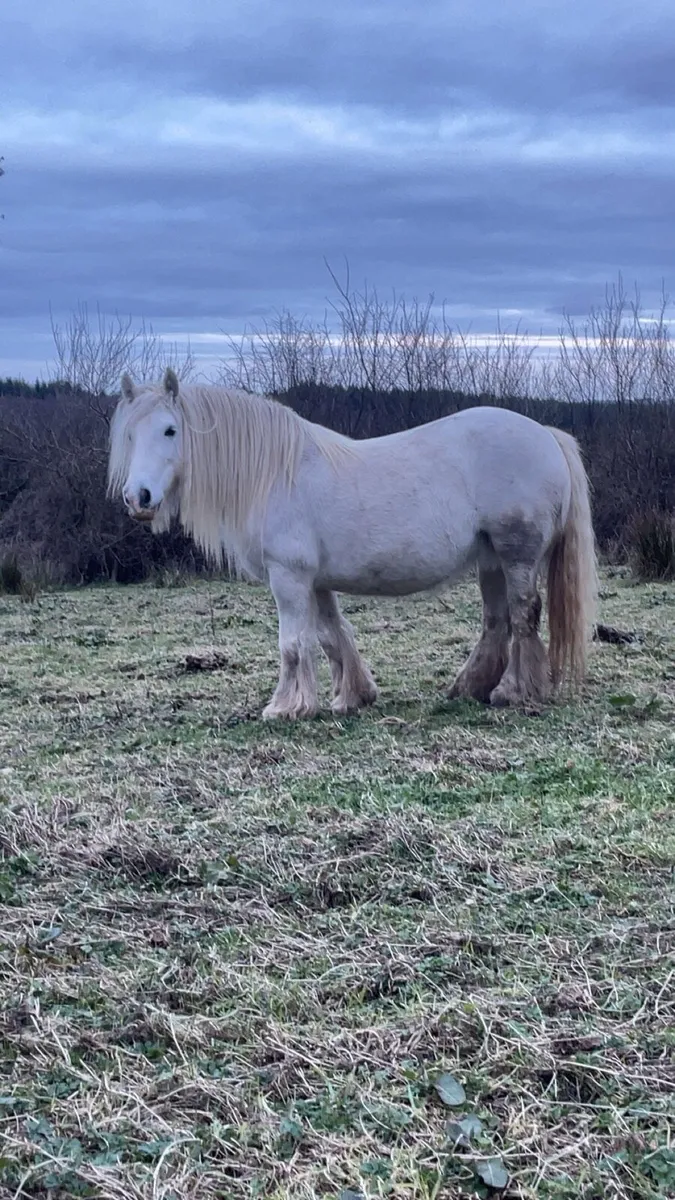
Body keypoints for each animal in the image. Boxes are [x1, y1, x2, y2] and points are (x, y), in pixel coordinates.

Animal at [108, 368, 598, 720]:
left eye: (170, 430)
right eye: (130, 434)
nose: (139, 498)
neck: (275, 474)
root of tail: (545, 433)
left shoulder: (289, 577)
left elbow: (292, 643)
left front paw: (285, 707)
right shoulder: (317, 581)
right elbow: (332, 635)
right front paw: (352, 697)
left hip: (517, 555)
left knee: (523, 616)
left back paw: (513, 691)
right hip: (490, 558)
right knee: (496, 622)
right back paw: (469, 687)